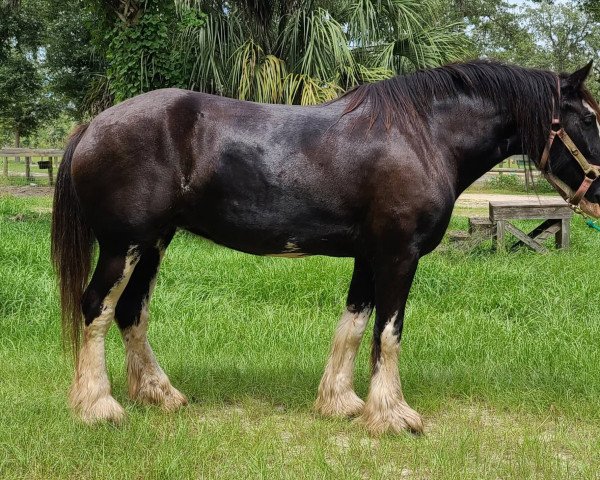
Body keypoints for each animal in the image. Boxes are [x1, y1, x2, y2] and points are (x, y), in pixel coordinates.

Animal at [50, 59, 600, 436]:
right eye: (589, 120)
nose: (599, 194)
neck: (422, 136)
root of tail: (94, 125)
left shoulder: (368, 256)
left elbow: (355, 324)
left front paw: (342, 403)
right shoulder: (398, 256)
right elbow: (388, 333)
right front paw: (393, 415)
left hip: (154, 243)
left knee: (131, 312)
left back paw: (160, 395)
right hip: (125, 245)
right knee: (96, 308)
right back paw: (98, 406)